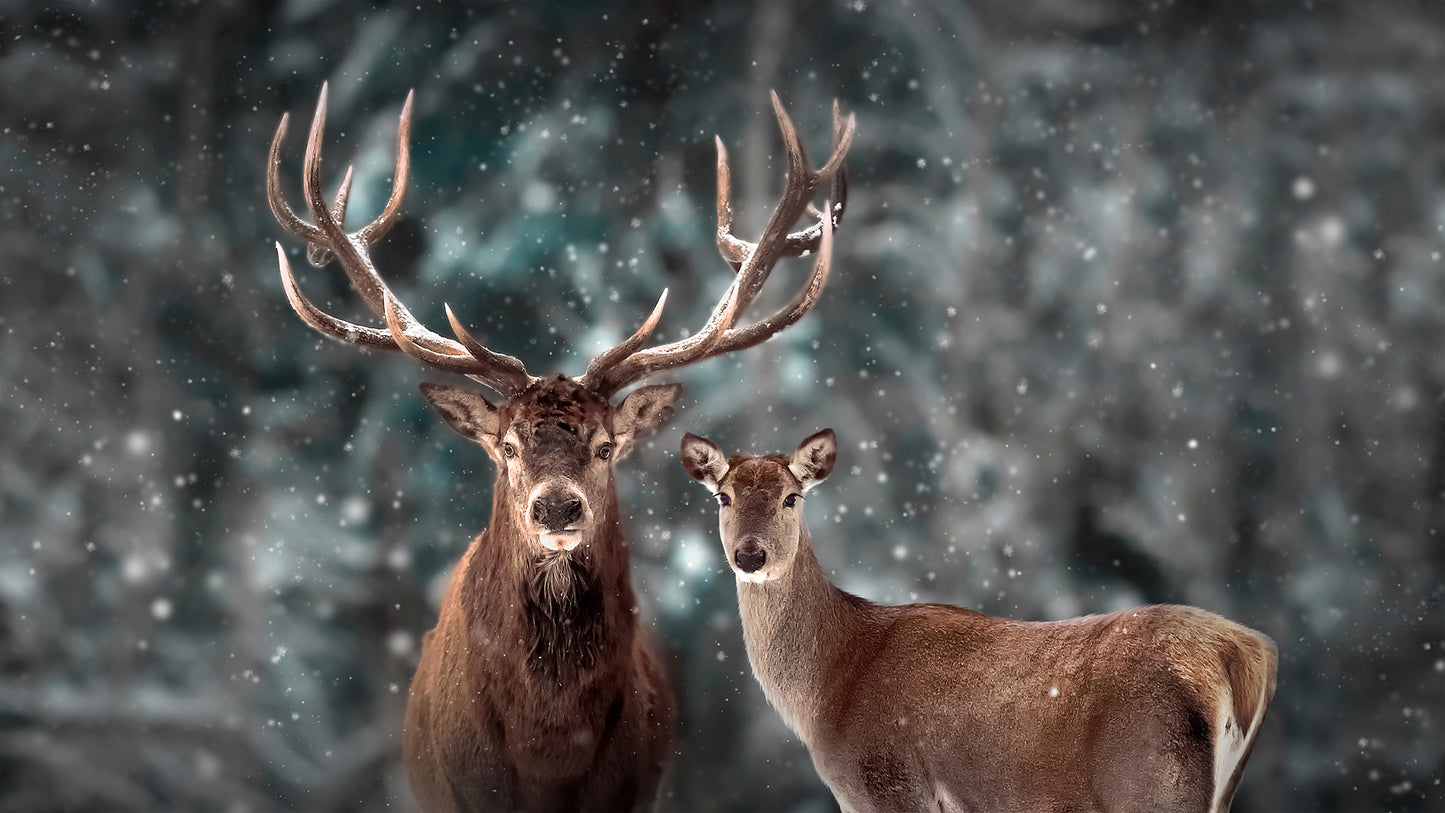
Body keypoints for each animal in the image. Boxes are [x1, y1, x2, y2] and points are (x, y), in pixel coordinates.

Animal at [681, 429, 1278, 813]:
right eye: (723, 496)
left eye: (791, 497)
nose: (750, 555)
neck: (828, 687)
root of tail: (1246, 655)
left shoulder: (889, 786)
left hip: (1150, 777)